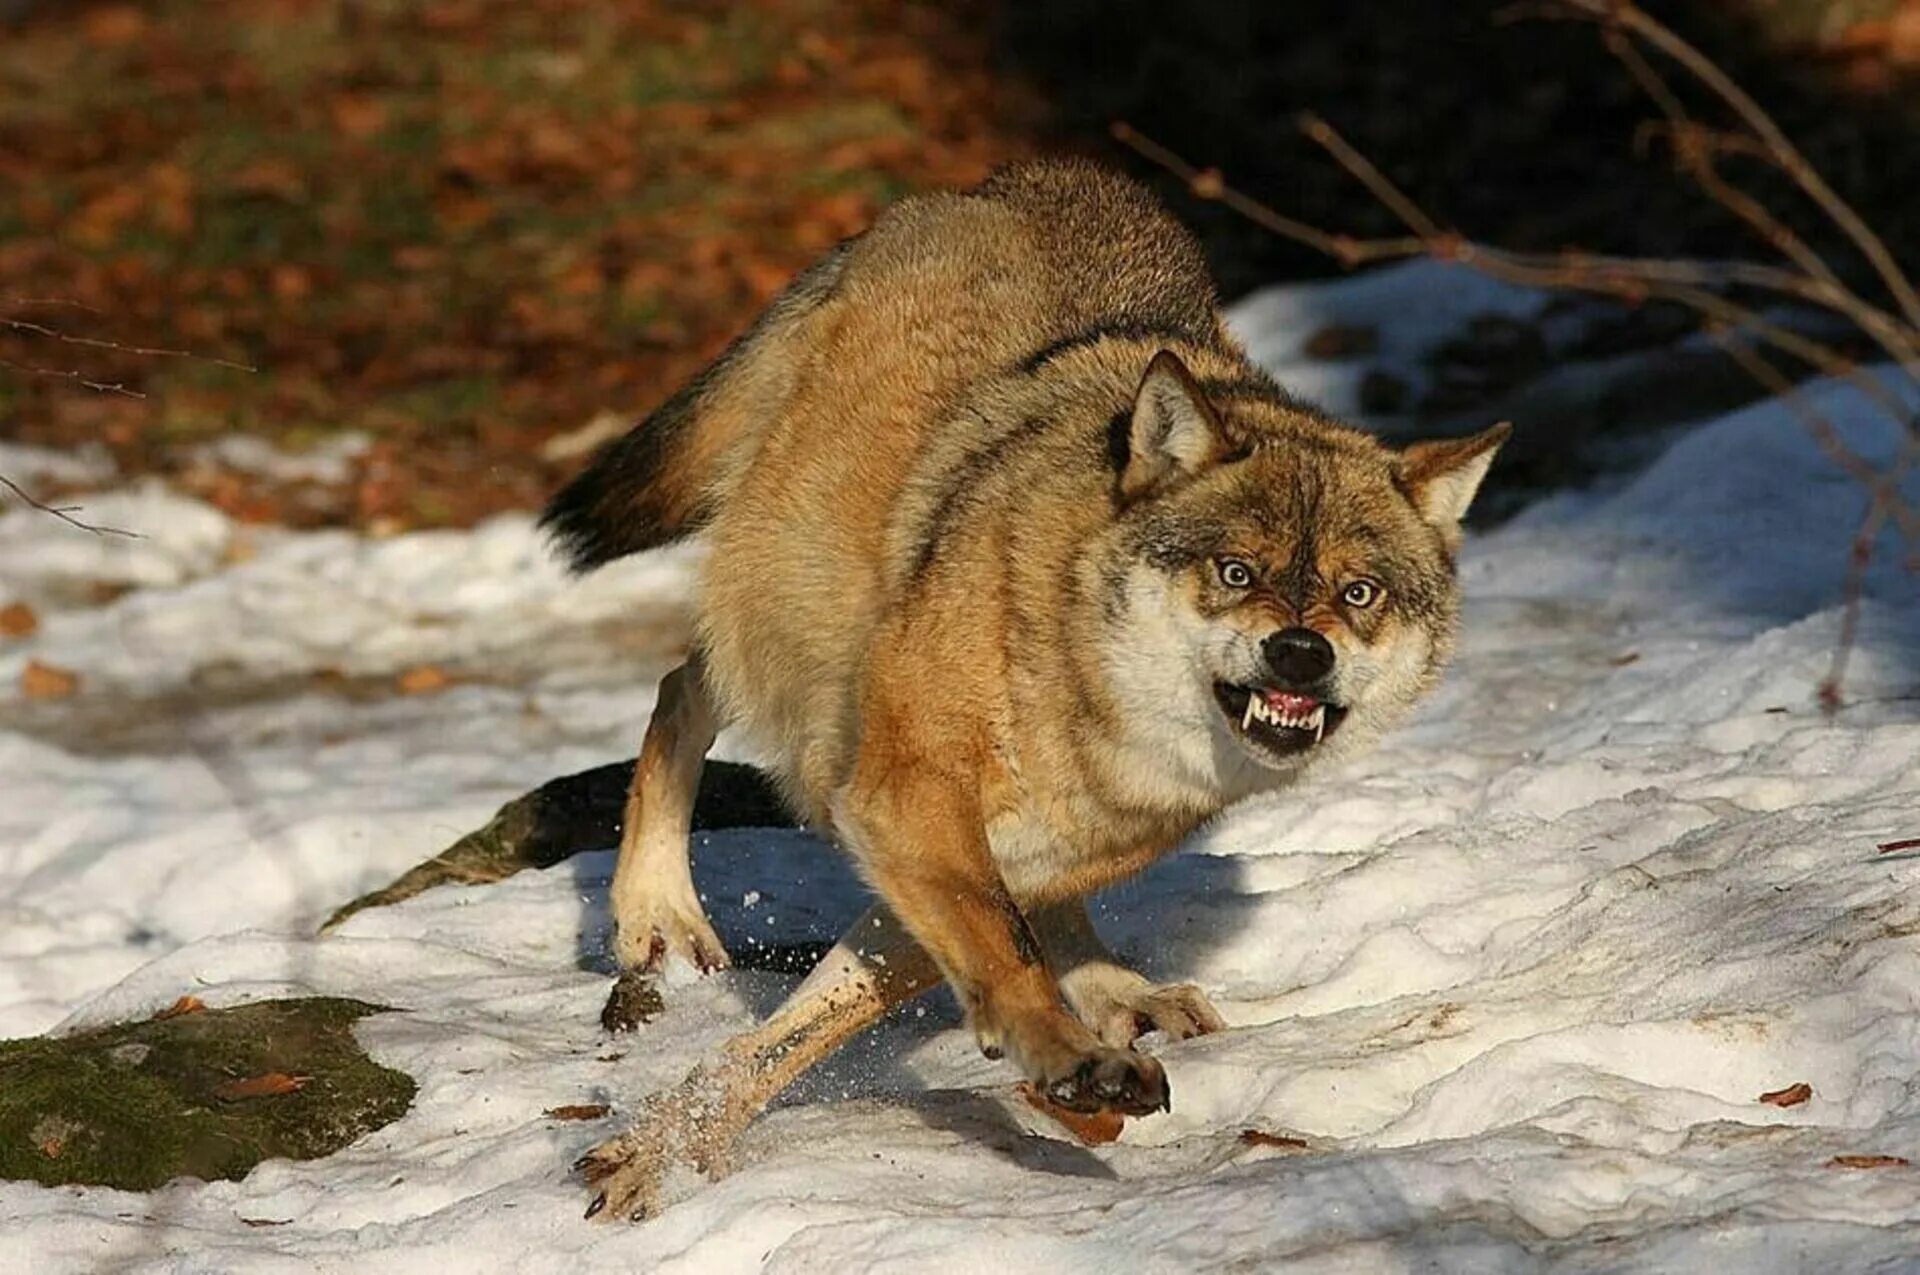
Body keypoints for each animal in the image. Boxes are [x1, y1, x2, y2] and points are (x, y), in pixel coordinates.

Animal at [545, 162, 1512, 1228]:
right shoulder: (904, 802)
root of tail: (1015, 178)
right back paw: (656, 912)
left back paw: (1120, 991)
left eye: (1358, 593)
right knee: (679, 687)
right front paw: (1067, 1058)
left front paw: (669, 1145)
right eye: (1235, 571)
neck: (1085, 694)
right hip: (778, 613)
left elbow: (809, 1026)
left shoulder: (939, 852)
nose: (1300, 654)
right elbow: (994, 952)